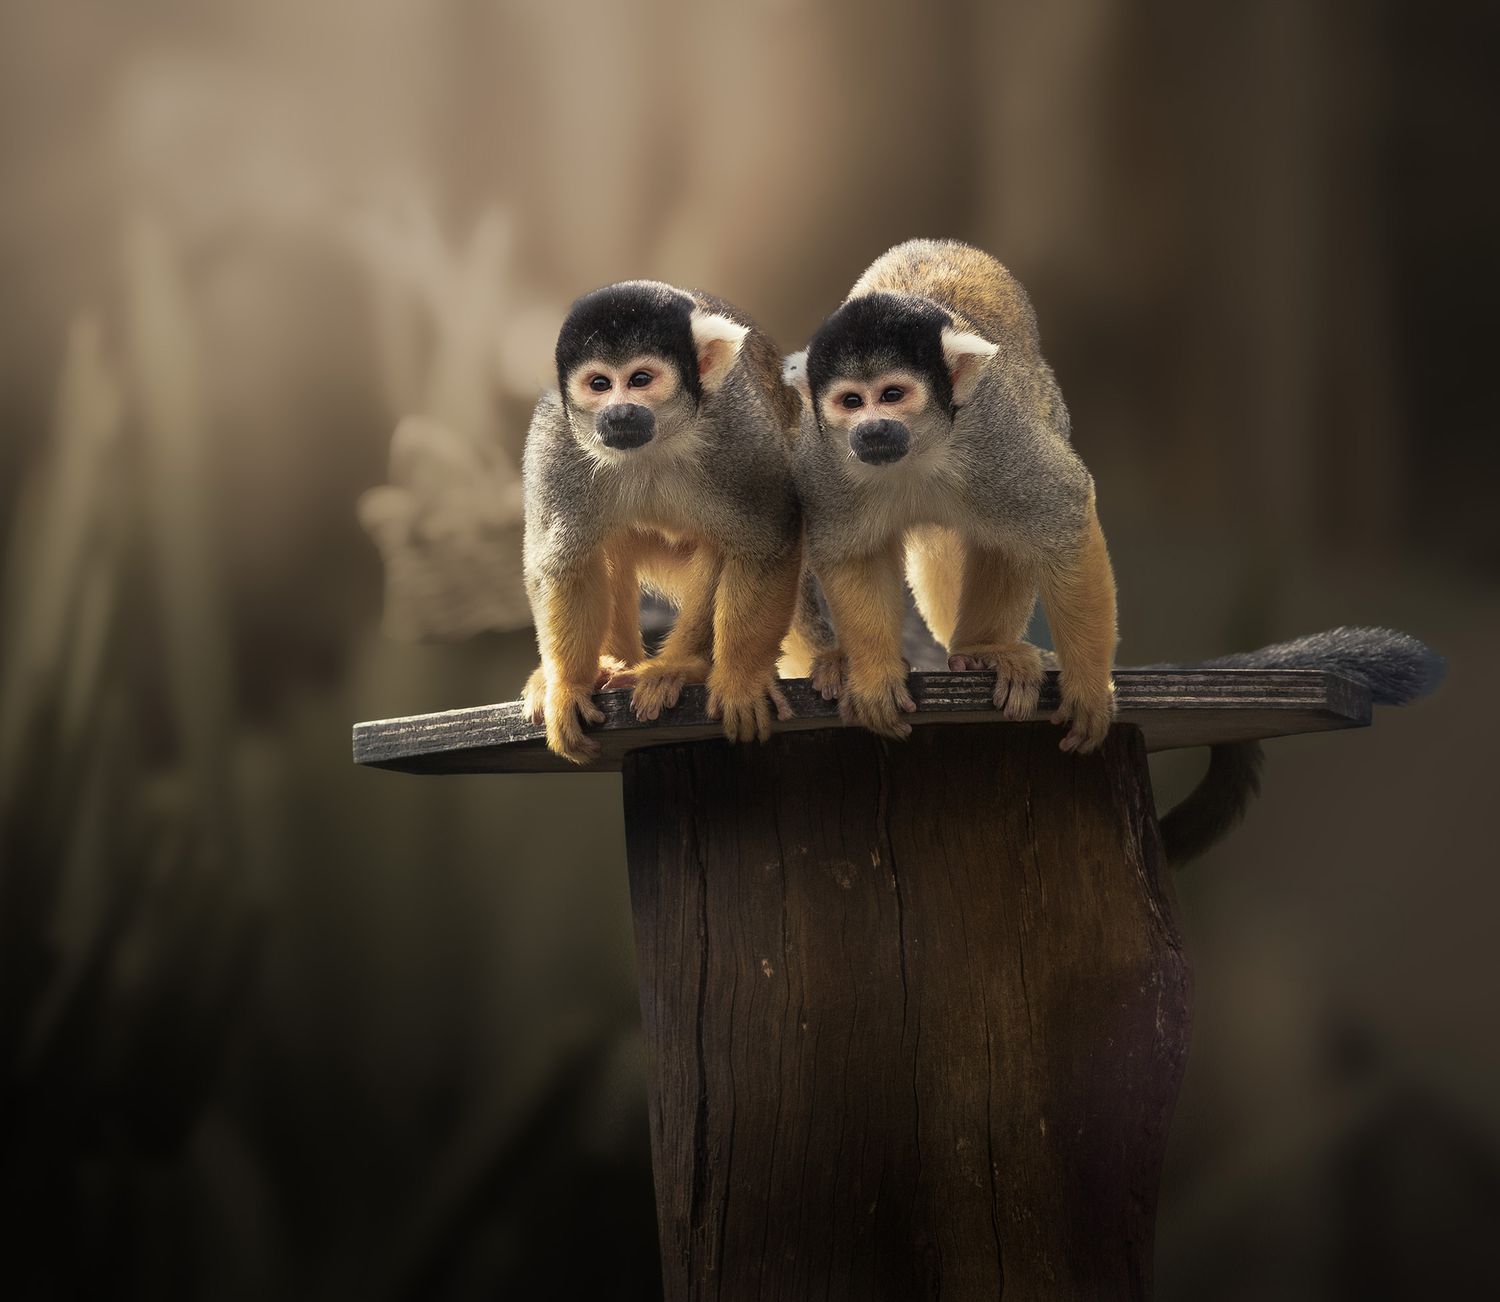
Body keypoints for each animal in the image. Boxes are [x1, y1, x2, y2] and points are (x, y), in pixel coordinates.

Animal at [520, 280, 803, 764]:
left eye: (640, 380)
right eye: (599, 384)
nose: (618, 413)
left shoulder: (740, 432)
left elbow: (769, 546)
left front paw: (741, 680)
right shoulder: (557, 439)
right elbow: (562, 565)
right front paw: (570, 687)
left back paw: (680, 667)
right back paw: (612, 667)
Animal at [782, 238, 1118, 752]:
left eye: (892, 395)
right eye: (851, 402)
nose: (872, 429)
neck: (919, 451)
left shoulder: (998, 434)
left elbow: (1065, 516)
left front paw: (1089, 689)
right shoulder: (822, 460)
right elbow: (852, 555)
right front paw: (874, 676)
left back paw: (983, 650)